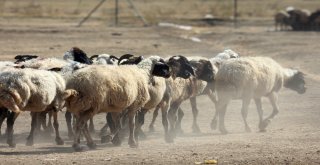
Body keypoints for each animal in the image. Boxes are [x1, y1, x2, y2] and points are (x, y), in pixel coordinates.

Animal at [62, 55, 192, 151]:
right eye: (163, 67)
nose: (169, 74)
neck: (143, 72)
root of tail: (75, 83)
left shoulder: (117, 107)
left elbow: (118, 124)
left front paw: (114, 139)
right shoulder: (135, 105)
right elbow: (132, 124)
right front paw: (132, 142)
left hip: (80, 107)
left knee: (82, 125)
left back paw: (90, 143)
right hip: (90, 105)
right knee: (80, 125)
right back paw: (77, 146)